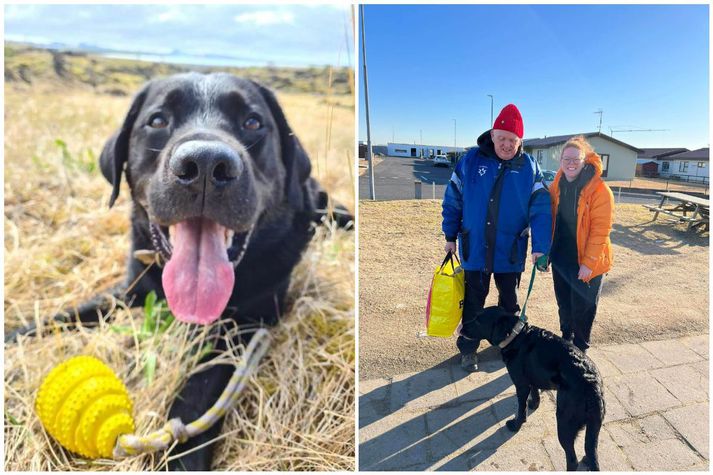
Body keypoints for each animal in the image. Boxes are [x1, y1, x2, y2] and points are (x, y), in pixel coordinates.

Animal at [10, 72, 354, 470]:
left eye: (253, 122)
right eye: (157, 120)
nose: (205, 165)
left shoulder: (244, 326)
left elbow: (196, 394)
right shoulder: (129, 291)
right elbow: (58, 319)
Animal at [470, 306, 604, 470]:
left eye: (478, 321)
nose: (461, 328)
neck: (516, 336)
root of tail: (592, 385)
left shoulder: (521, 384)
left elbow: (521, 409)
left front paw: (516, 424)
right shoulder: (532, 377)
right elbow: (535, 392)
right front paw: (534, 404)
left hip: (564, 422)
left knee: (573, 460)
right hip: (594, 426)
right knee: (591, 451)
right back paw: (587, 460)